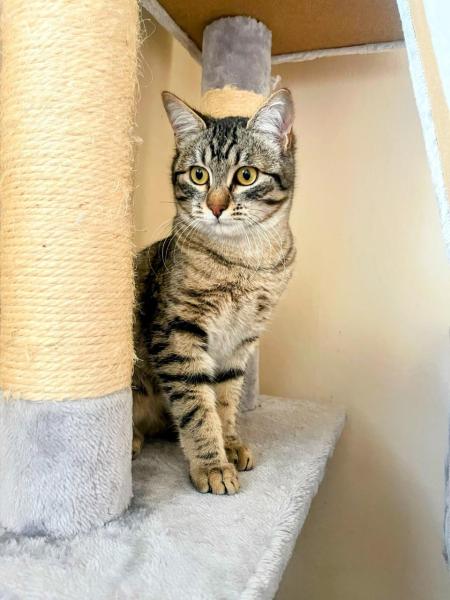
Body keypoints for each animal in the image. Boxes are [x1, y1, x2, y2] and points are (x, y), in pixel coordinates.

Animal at [132, 88, 296, 495]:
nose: (216, 206)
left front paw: (230, 443)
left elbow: (224, 401)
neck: (245, 264)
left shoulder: (240, 341)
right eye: (198, 174)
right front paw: (212, 464)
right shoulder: (178, 337)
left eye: (246, 175)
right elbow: (197, 408)